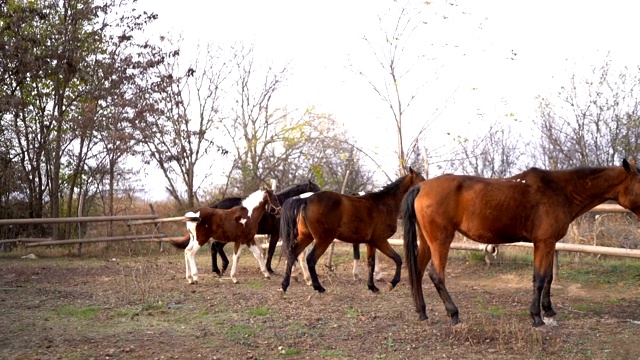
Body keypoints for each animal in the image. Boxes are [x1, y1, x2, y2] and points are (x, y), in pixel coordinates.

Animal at [278, 167, 424, 296]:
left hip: (306, 237)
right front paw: (391, 284)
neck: (383, 204)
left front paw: (372, 287)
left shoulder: (371, 242)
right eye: (421, 180)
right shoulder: (380, 240)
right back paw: (318, 287)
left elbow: (371, 263)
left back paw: (284, 286)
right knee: (310, 259)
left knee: (292, 255)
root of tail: (306, 200)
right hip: (323, 240)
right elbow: (398, 259)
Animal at [402, 159, 640, 328]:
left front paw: (548, 309)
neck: (559, 190)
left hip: (427, 242)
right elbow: (539, 279)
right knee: (436, 275)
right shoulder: (543, 243)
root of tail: (421, 187)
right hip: (441, 241)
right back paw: (454, 314)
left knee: (418, 272)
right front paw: (537, 317)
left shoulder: (549, 244)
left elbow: (548, 277)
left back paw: (422, 312)